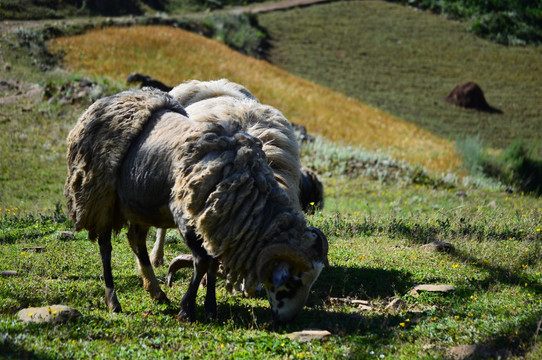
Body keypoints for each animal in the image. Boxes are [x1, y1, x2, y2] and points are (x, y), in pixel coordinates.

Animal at [63, 88, 328, 324]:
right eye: (292, 282)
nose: (287, 320)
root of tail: (107, 100)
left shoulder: (213, 222)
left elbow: (209, 261)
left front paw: (210, 308)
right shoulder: (187, 217)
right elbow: (201, 261)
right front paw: (187, 310)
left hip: (139, 203)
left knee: (135, 240)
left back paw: (157, 292)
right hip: (100, 198)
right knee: (105, 247)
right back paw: (113, 301)